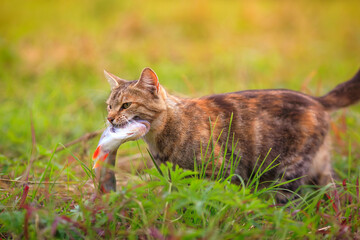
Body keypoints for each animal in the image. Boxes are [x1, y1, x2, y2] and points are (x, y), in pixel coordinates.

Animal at [99, 66, 360, 202]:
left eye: (126, 105)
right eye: (109, 106)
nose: (109, 119)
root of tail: (316, 100)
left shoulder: (223, 171)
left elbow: (214, 197)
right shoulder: (173, 177)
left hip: (288, 171)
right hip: (320, 168)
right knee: (334, 191)